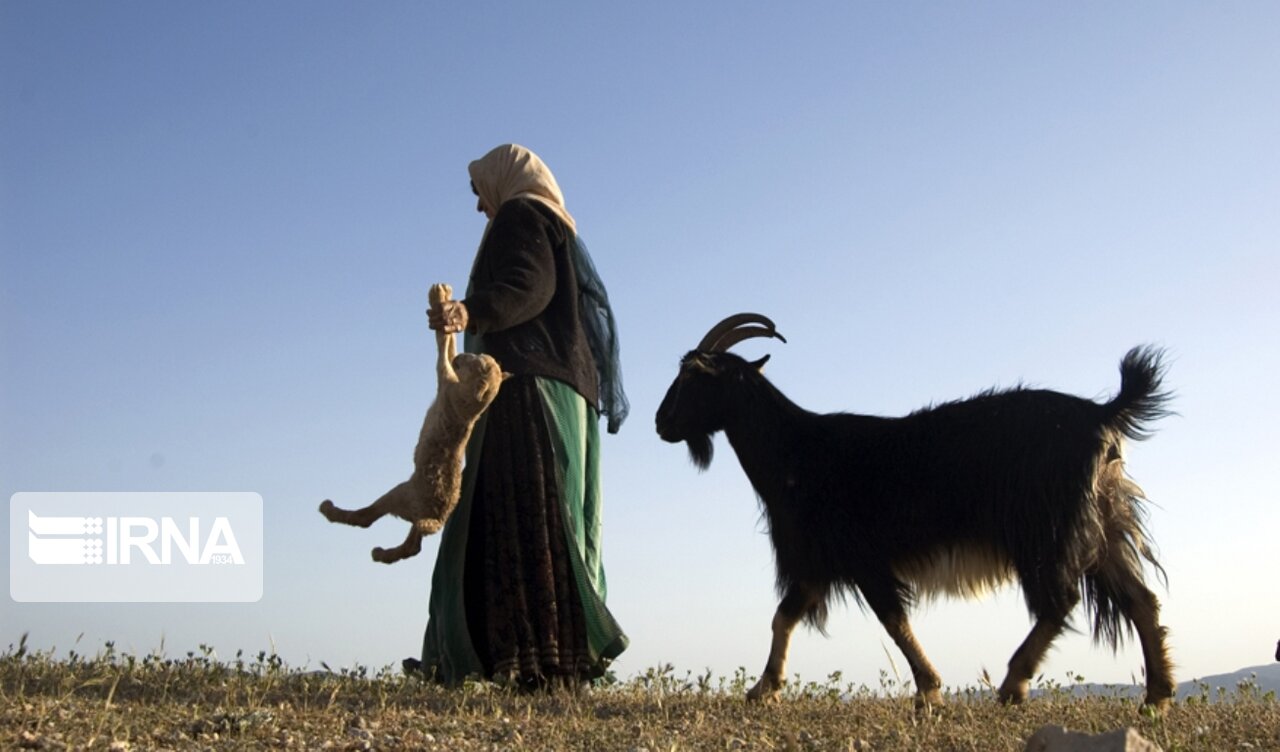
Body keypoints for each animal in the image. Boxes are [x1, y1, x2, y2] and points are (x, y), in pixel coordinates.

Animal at [320, 283, 509, 562]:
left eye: (473, 362)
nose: (464, 357)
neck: (473, 404)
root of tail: (438, 518)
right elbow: (448, 346)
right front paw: (447, 302)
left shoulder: (446, 380)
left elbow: (442, 346)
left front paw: (439, 297)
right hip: (411, 508)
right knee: (413, 546)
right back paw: (383, 553)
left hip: (402, 495)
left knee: (371, 520)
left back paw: (336, 514)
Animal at [655, 313, 1172, 711]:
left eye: (694, 375)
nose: (661, 422)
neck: (797, 451)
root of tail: (1103, 414)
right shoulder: (819, 562)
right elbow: (784, 616)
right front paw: (764, 689)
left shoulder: (857, 557)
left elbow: (891, 619)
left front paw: (928, 690)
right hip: (1103, 525)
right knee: (1140, 599)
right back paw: (1156, 698)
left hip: (1046, 529)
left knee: (1060, 600)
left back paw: (1013, 684)